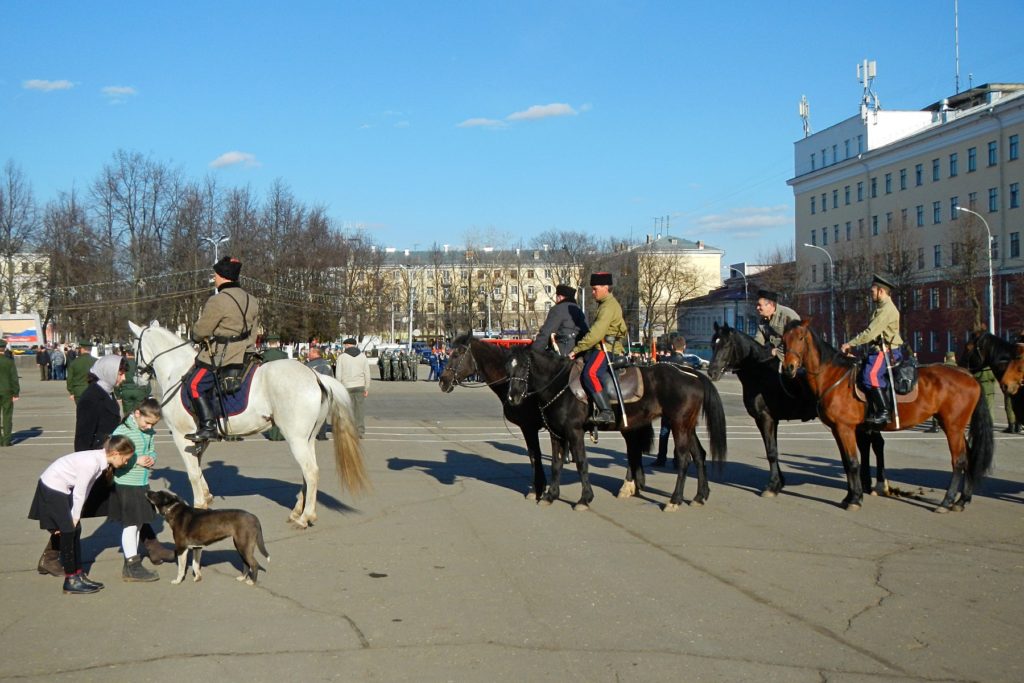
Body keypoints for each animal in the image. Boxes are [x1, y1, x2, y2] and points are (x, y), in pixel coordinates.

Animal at [127, 321, 368, 528]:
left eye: (133, 345)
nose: (137, 379)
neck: (177, 372)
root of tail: (315, 375)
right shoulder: (200, 437)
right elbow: (198, 464)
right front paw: (207, 495)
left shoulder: (181, 435)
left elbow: (192, 471)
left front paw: (199, 504)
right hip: (308, 439)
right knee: (306, 473)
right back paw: (298, 511)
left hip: (296, 438)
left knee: (310, 471)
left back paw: (305, 517)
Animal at [505, 350, 729, 509]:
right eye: (508, 368)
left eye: (524, 366)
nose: (512, 397)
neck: (560, 385)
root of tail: (692, 374)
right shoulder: (556, 433)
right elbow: (556, 464)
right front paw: (550, 495)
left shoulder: (574, 432)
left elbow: (581, 463)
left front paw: (585, 498)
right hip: (687, 426)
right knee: (699, 455)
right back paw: (699, 496)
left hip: (678, 424)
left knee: (683, 459)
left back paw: (675, 500)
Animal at [708, 325, 892, 497]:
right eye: (713, 344)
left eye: (726, 344)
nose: (712, 372)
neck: (760, 373)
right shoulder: (769, 420)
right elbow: (772, 449)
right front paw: (779, 482)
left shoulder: (765, 418)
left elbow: (771, 452)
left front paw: (772, 485)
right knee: (869, 445)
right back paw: (868, 484)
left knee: (875, 444)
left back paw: (877, 485)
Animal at [782, 321, 991, 511]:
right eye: (783, 339)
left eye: (800, 338)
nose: (789, 367)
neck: (833, 377)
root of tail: (968, 374)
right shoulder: (837, 430)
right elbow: (846, 463)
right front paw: (849, 496)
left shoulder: (845, 428)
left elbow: (852, 462)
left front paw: (855, 499)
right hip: (954, 427)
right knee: (969, 458)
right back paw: (961, 501)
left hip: (952, 427)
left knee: (959, 461)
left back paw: (946, 502)